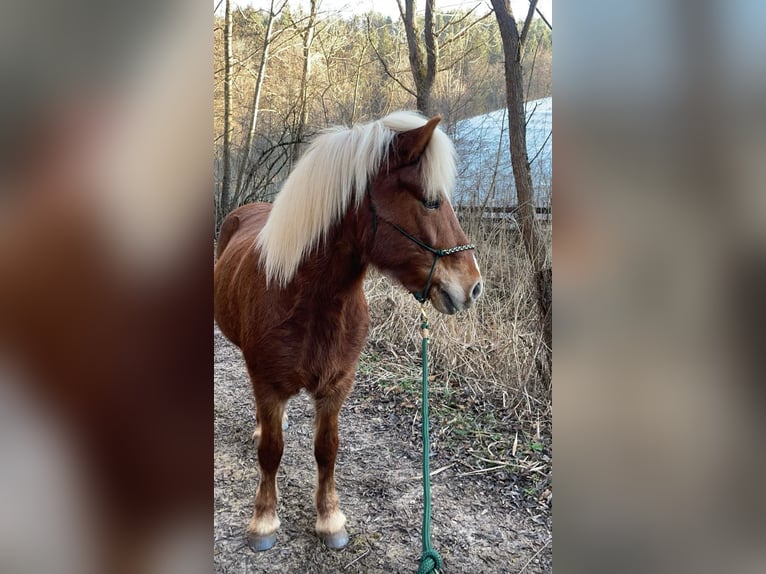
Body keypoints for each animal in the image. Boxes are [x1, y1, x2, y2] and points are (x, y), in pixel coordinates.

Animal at [213, 112, 483, 552]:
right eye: (430, 201)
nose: (473, 287)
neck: (309, 301)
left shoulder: (337, 386)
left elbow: (327, 450)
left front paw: (330, 519)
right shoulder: (268, 385)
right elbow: (271, 451)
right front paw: (264, 521)